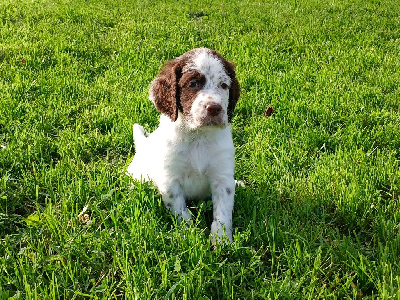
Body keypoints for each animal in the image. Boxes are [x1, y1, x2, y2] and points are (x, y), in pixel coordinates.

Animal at [128, 47, 241, 244]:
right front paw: (190, 234)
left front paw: (221, 241)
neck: (198, 136)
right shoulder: (169, 180)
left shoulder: (223, 177)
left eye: (224, 85)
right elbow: (180, 211)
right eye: (193, 83)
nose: (215, 108)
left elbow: (223, 213)